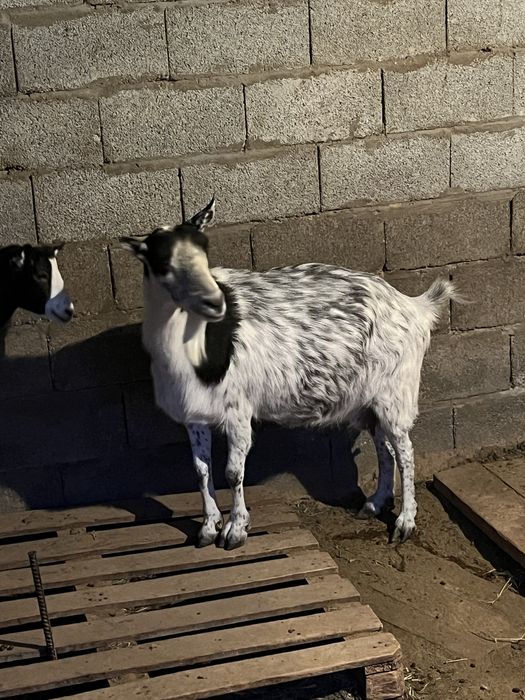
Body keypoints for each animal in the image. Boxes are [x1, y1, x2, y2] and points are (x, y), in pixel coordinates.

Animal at [122, 199, 457, 550]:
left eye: (205, 250)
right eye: (163, 263)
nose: (214, 302)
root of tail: (416, 308)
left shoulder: (238, 409)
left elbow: (232, 472)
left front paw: (235, 531)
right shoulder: (193, 413)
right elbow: (201, 469)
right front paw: (208, 527)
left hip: (397, 391)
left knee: (405, 451)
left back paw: (405, 522)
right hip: (369, 400)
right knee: (384, 445)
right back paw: (375, 503)